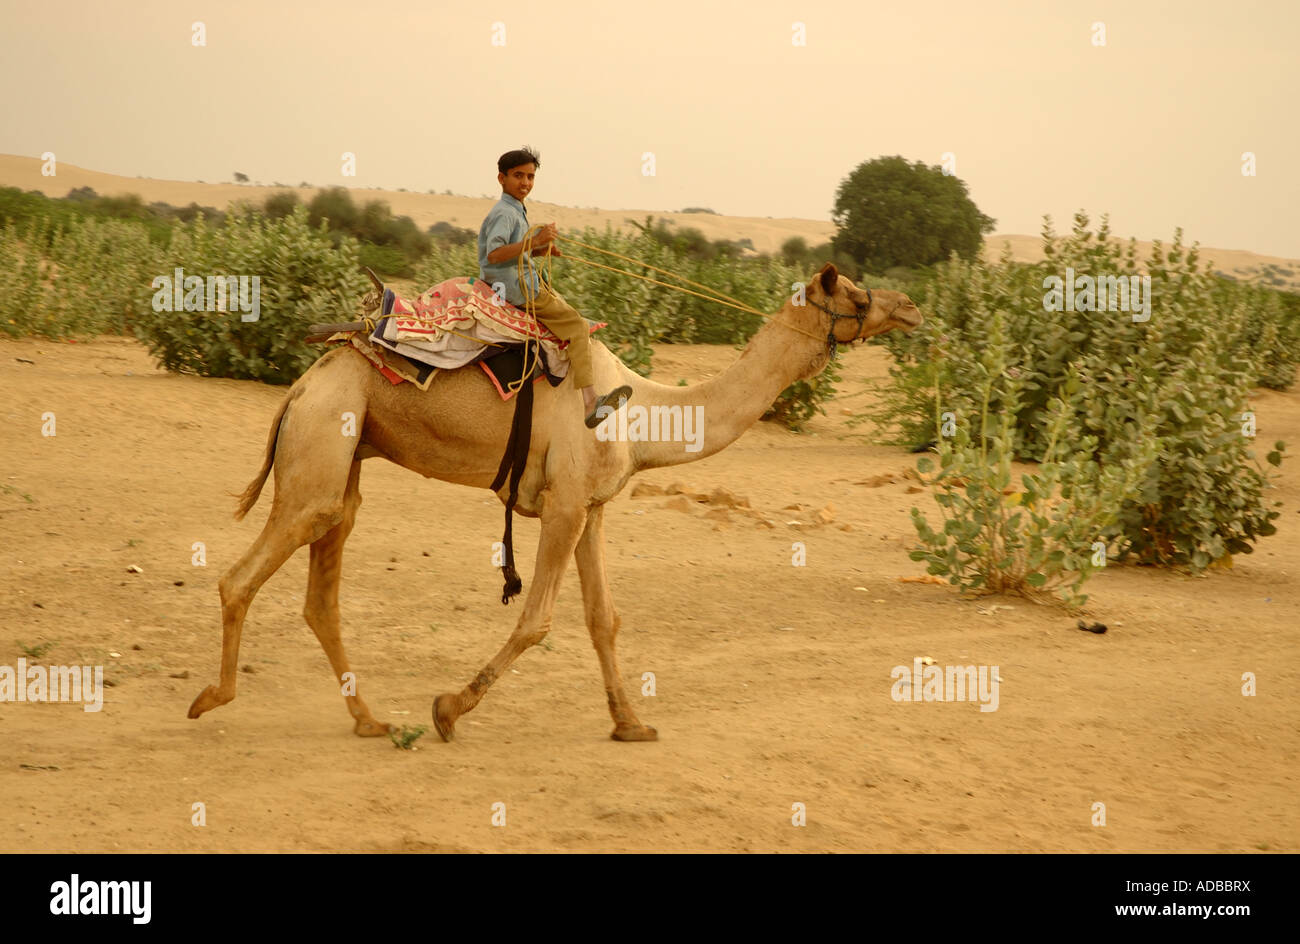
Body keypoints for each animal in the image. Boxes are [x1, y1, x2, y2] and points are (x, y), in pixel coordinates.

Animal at [187, 263, 923, 741]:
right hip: (320, 450)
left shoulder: (592, 507)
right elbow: (537, 619)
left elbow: (604, 619)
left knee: (321, 593)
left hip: (346, 462)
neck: (641, 416)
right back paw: (212, 697)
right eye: (856, 293)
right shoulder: (565, 505)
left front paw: (631, 723)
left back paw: (369, 719)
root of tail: (303, 383)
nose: (911, 305)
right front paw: (449, 709)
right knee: (240, 577)